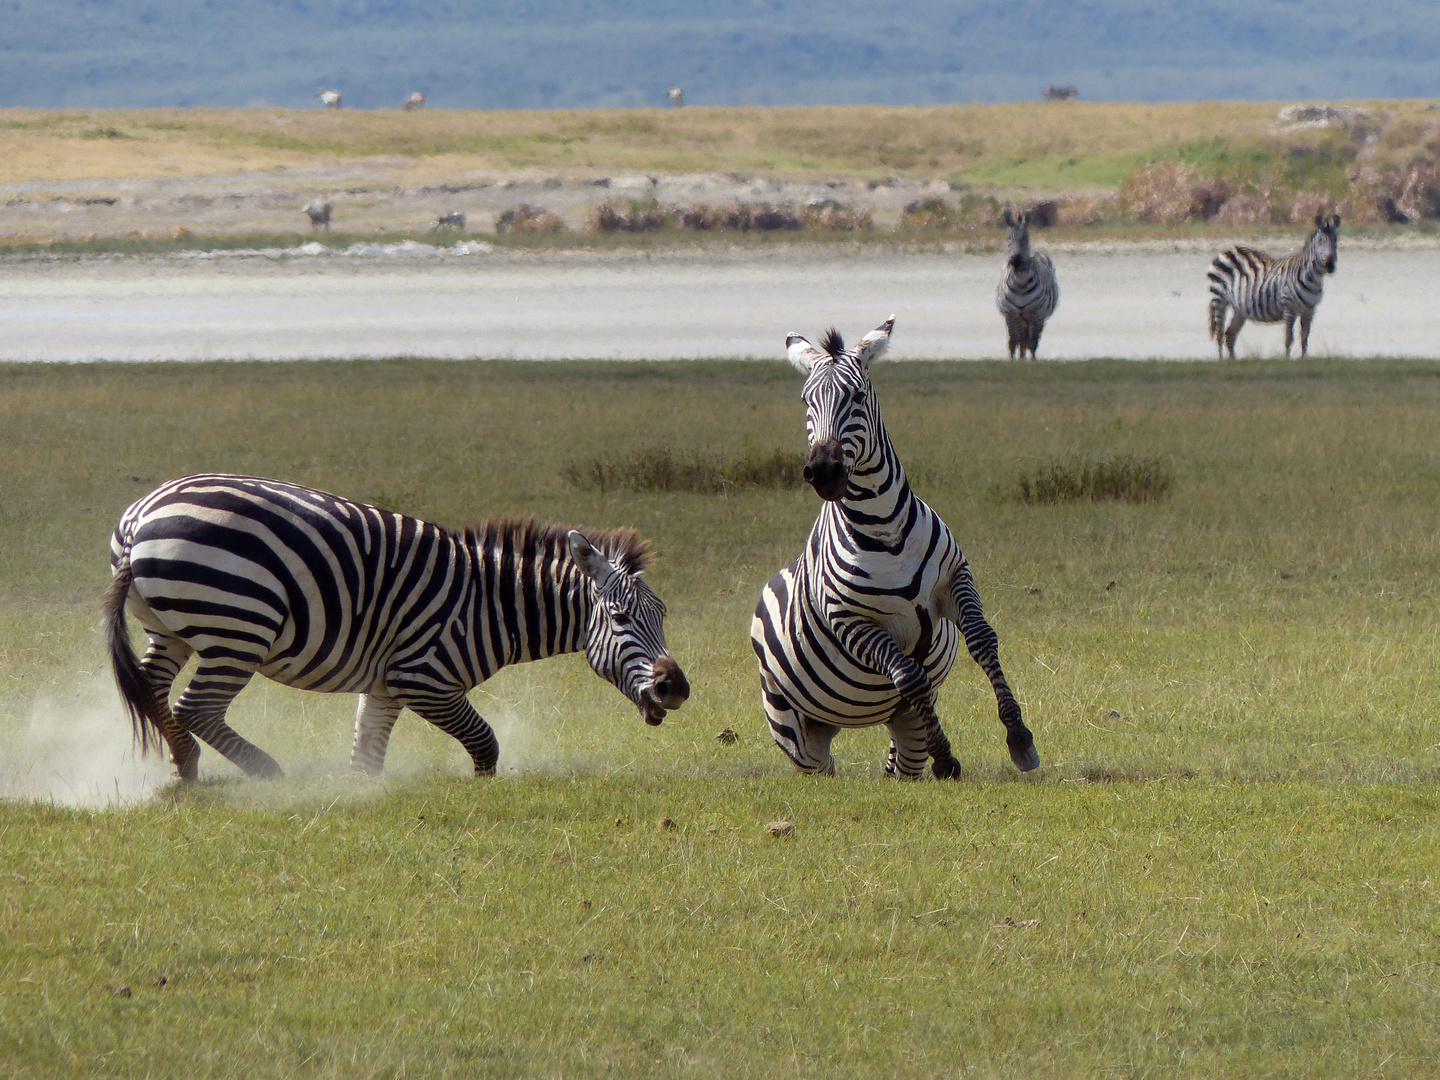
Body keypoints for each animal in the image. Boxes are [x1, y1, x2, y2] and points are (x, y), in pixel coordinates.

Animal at [101, 478, 685, 783]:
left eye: (661, 615)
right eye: (620, 618)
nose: (676, 688)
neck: (489, 603)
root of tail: (139, 520)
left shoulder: (383, 686)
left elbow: (368, 758)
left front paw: (362, 797)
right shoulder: (422, 678)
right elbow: (486, 744)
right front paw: (481, 789)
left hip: (169, 628)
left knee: (153, 688)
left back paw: (185, 767)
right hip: (238, 630)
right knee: (195, 706)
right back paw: (268, 776)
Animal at [748, 316, 1042, 783]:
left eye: (856, 396)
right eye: (805, 400)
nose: (824, 472)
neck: (884, 526)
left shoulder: (954, 580)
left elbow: (982, 640)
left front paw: (1020, 738)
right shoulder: (850, 621)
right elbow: (909, 676)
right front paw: (947, 758)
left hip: (899, 725)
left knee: (903, 756)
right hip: (795, 733)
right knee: (822, 762)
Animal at [996, 208, 1065, 361]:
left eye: (1025, 239)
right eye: (1009, 238)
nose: (1016, 262)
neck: (1020, 283)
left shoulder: (1037, 315)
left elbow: (1032, 343)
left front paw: (1032, 362)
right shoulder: (1011, 315)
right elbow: (1012, 342)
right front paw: (1012, 361)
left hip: (1035, 318)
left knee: (1029, 340)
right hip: (1021, 319)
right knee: (1021, 340)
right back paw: (1021, 357)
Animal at [1203, 211, 1336, 360]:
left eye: (1335, 241)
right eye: (1320, 241)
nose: (1330, 265)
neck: (1312, 278)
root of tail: (1227, 250)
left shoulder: (1309, 310)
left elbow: (1304, 337)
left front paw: (1303, 358)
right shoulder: (1288, 307)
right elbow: (1289, 338)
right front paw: (1287, 360)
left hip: (1239, 308)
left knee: (1229, 334)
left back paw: (1233, 360)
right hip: (1219, 299)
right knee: (1219, 333)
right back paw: (1221, 360)